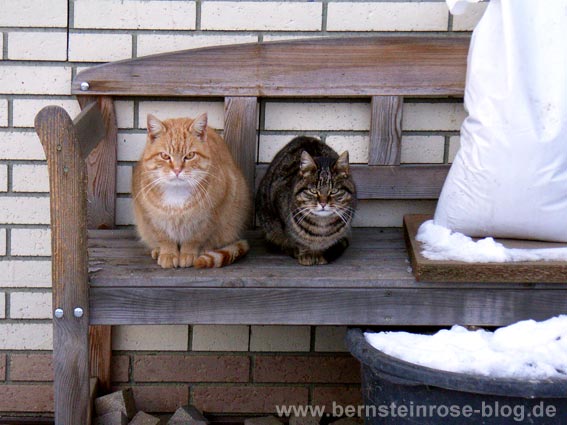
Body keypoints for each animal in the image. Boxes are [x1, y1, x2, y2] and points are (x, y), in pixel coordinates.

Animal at [133, 112, 251, 268]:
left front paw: (188, 253)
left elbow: (195, 238)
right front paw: (168, 253)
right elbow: (164, 238)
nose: (177, 170)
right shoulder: (151, 217)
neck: (176, 194)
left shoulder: (211, 215)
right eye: (165, 156)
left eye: (189, 155)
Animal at [256, 136, 358, 264]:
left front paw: (320, 253)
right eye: (313, 190)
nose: (323, 203)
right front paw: (306, 254)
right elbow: (296, 240)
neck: (321, 226)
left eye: (334, 191)